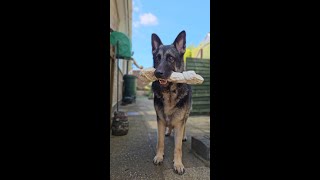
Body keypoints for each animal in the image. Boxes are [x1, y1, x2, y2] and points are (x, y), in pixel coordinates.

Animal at [151, 30, 191, 174]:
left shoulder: (179, 121)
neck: (169, 92)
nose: (157, 73)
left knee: (184, 125)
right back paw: (168, 132)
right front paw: (159, 156)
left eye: (170, 58)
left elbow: (177, 147)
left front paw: (178, 164)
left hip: (186, 115)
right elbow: (160, 142)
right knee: (169, 126)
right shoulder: (160, 120)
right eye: (157, 58)